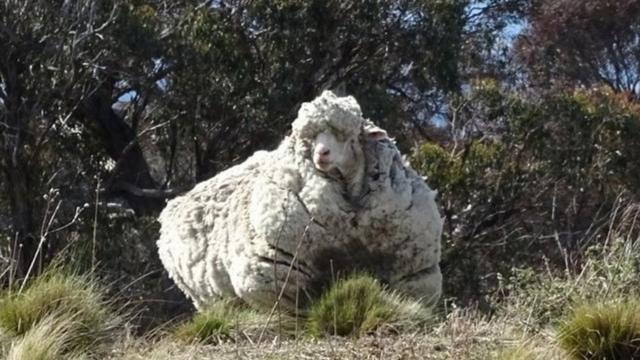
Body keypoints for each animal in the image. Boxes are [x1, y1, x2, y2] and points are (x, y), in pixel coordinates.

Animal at [158, 88, 442, 310]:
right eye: (310, 138)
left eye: (347, 135)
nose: (321, 154)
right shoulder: (277, 277)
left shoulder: (413, 274)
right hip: (207, 297)